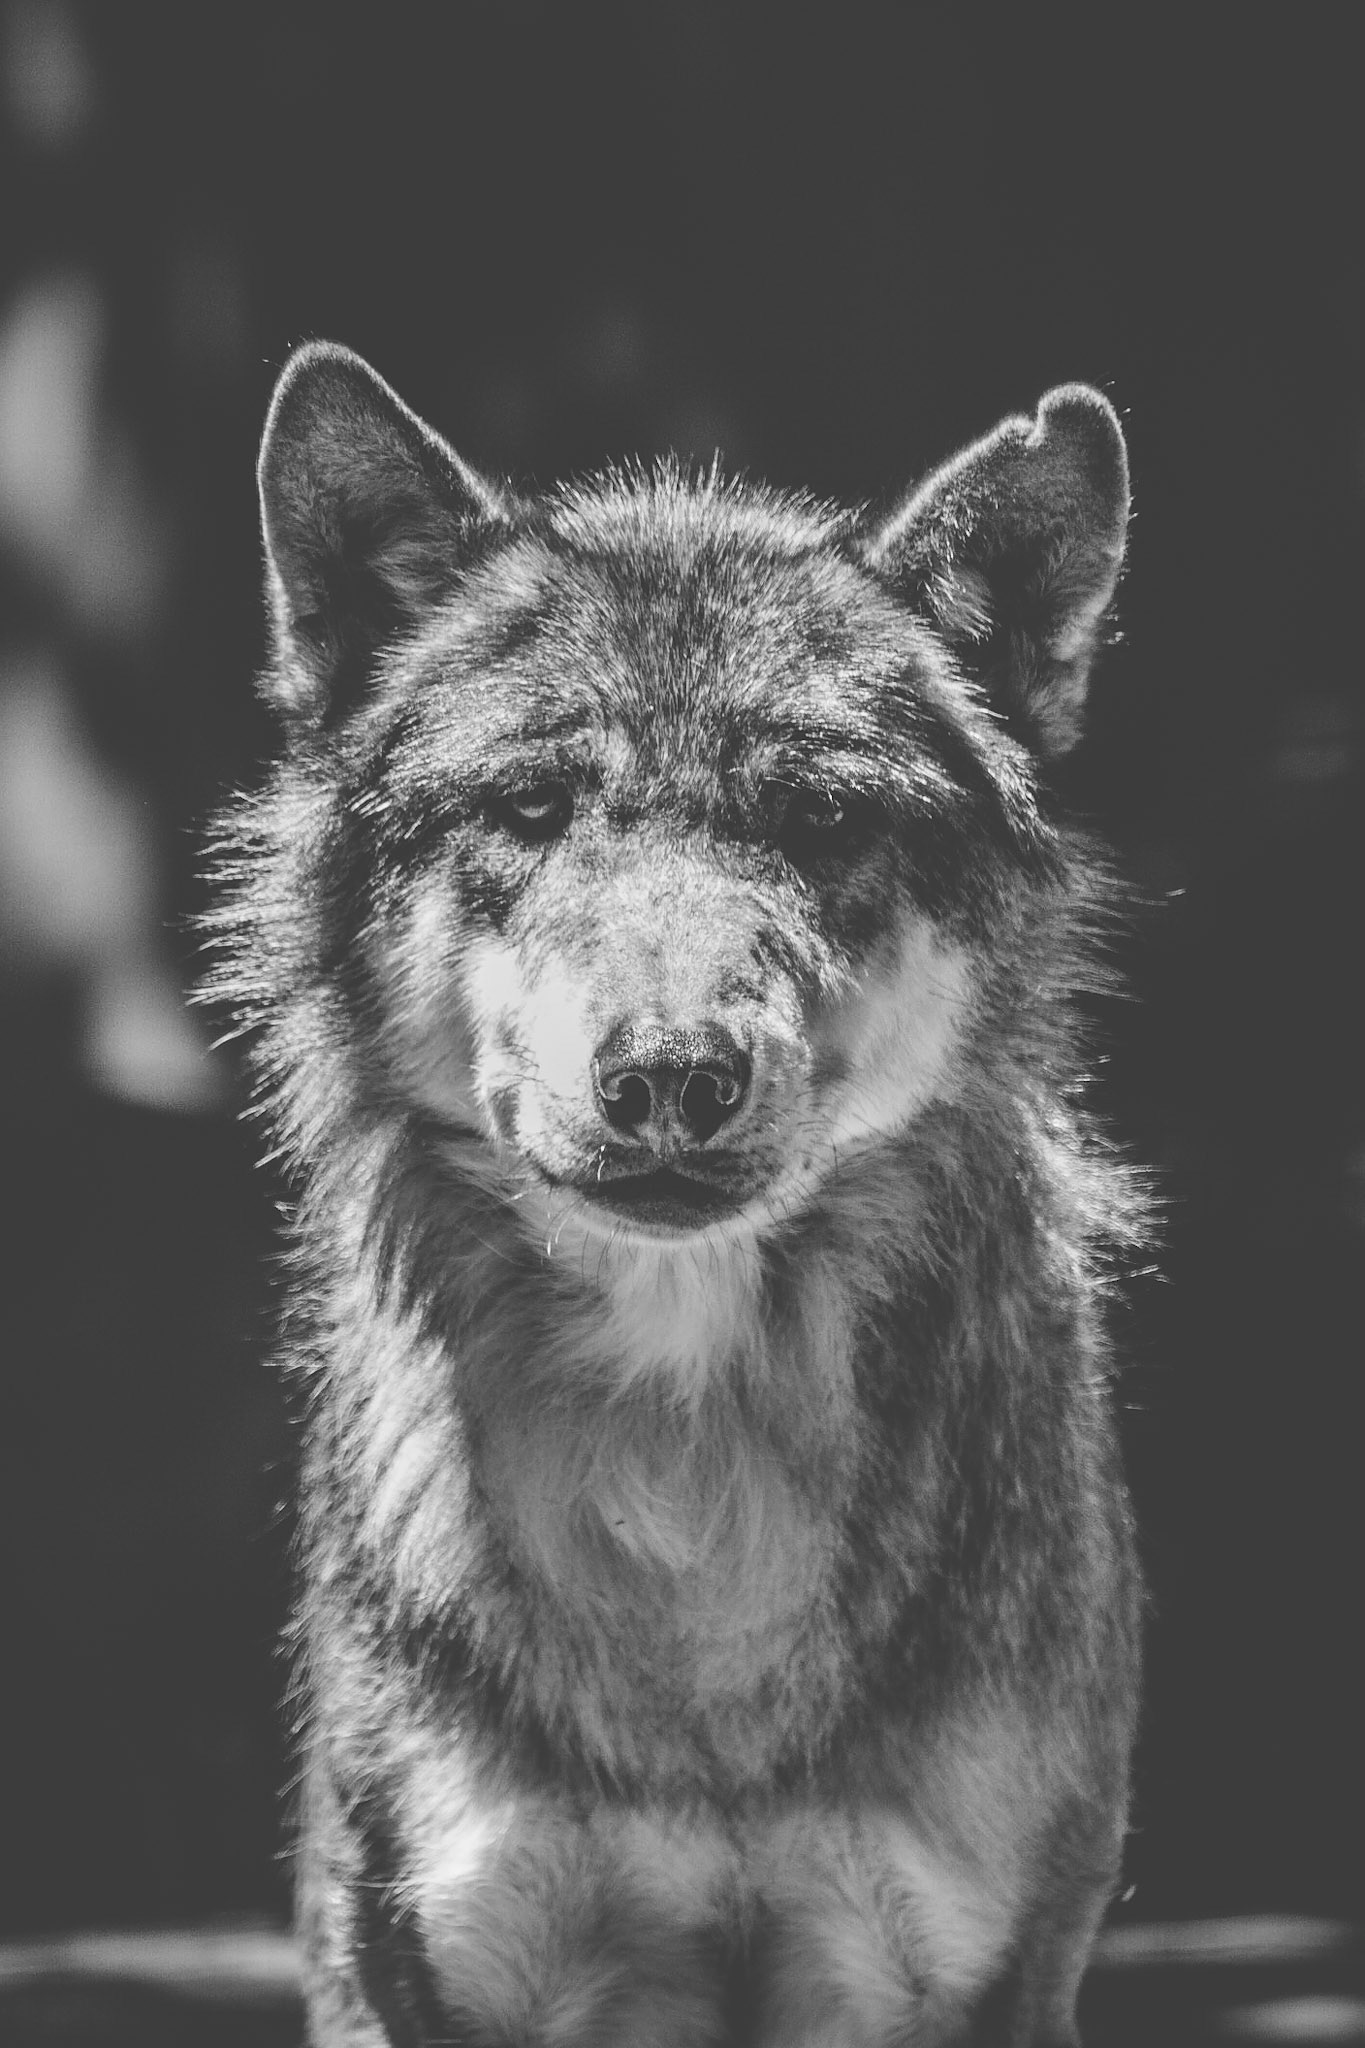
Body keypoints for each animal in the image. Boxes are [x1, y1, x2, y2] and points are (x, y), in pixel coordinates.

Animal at [206, 341, 1143, 2047]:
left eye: (820, 817)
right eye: (529, 810)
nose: (666, 1076)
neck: (686, 1480)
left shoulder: (979, 1975)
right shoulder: (405, 1965)